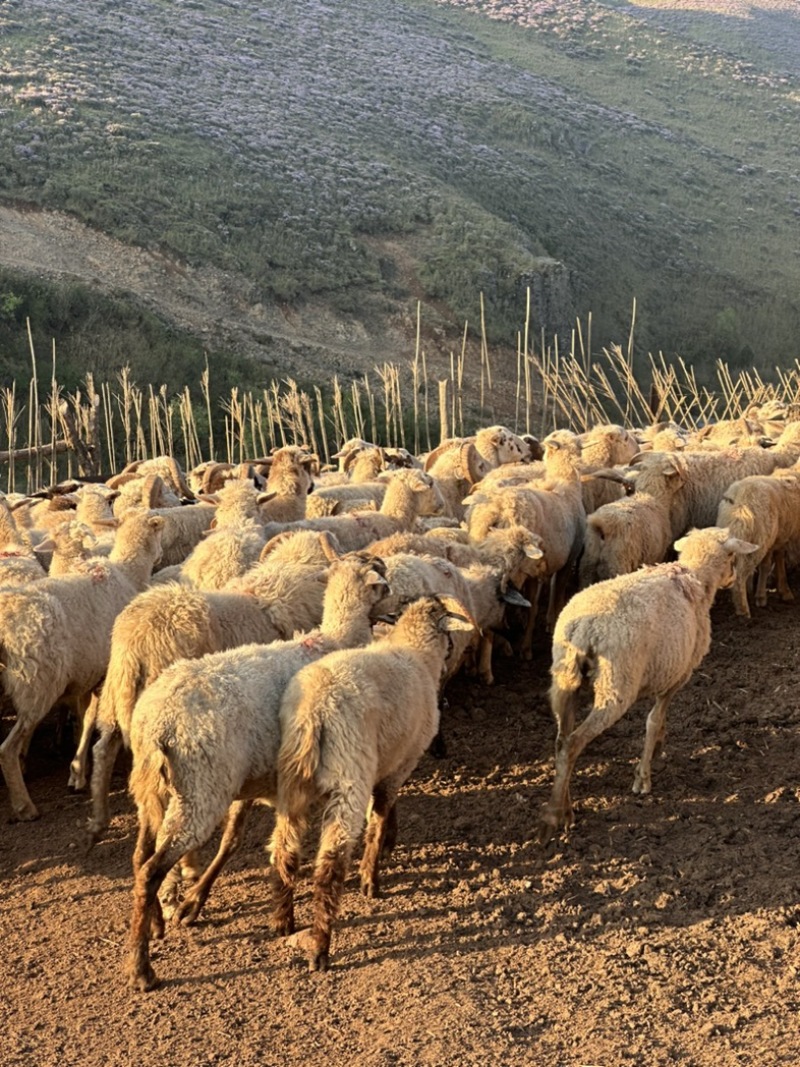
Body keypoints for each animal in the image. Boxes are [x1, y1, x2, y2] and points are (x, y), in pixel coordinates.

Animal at [0, 512, 165, 819]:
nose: (161, 555)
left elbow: (84, 717)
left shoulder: (85, 677)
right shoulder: (103, 675)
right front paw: (79, 772)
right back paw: (25, 807)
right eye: (158, 531)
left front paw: (76, 768)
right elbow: (91, 719)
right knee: (6, 750)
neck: (127, 573)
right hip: (37, 686)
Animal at [123, 550, 390, 990]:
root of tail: (153, 723)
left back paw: (155, 923)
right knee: (151, 870)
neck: (334, 639)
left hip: (156, 792)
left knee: (140, 857)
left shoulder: (252, 780)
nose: (395, 610)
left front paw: (194, 903)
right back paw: (142, 969)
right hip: (199, 790)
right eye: (384, 586)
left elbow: (232, 842)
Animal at [269, 597, 475, 973]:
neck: (415, 651)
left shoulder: (389, 759)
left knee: (284, 850)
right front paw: (371, 878)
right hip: (349, 777)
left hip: (291, 779)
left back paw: (283, 922)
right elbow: (378, 819)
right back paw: (320, 949)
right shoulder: (400, 763)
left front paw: (389, 842)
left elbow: (386, 809)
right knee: (329, 866)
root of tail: (313, 710)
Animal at [539, 524, 759, 840]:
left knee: (561, 741)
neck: (695, 577)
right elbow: (654, 721)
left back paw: (566, 808)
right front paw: (643, 776)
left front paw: (657, 750)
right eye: (731, 556)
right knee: (573, 743)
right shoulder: (677, 674)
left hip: (564, 680)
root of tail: (585, 628)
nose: (731, 579)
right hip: (615, 685)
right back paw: (555, 815)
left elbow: (659, 720)